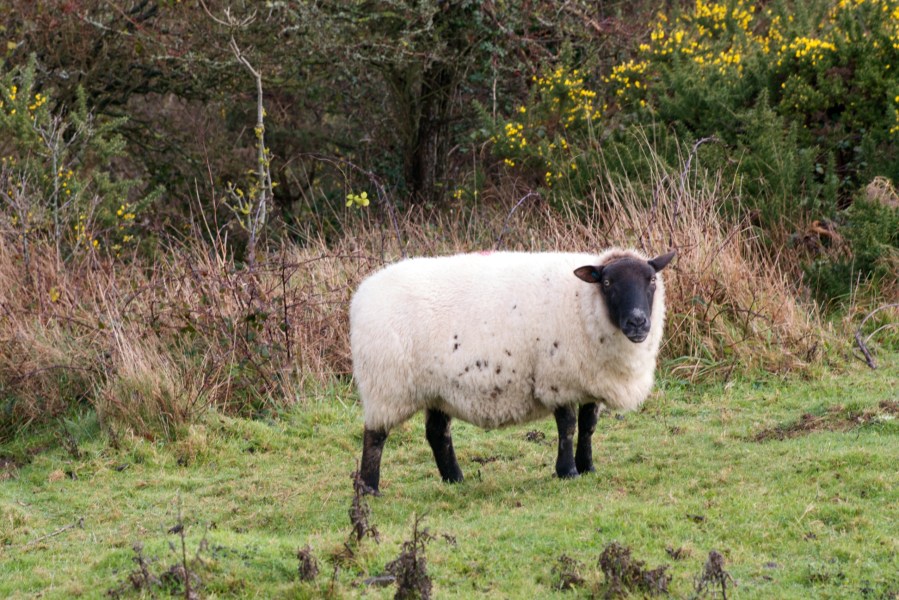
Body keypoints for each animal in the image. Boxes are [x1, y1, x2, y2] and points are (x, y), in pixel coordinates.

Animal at [350, 248, 676, 494]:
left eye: (651, 280)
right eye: (607, 283)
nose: (637, 322)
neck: (582, 302)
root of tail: (361, 296)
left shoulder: (588, 379)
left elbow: (588, 427)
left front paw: (588, 467)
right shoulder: (557, 379)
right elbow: (568, 426)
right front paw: (567, 471)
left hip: (437, 389)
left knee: (437, 434)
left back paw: (455, 479)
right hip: (386, 383)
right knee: (375, 436)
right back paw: (369, 488)